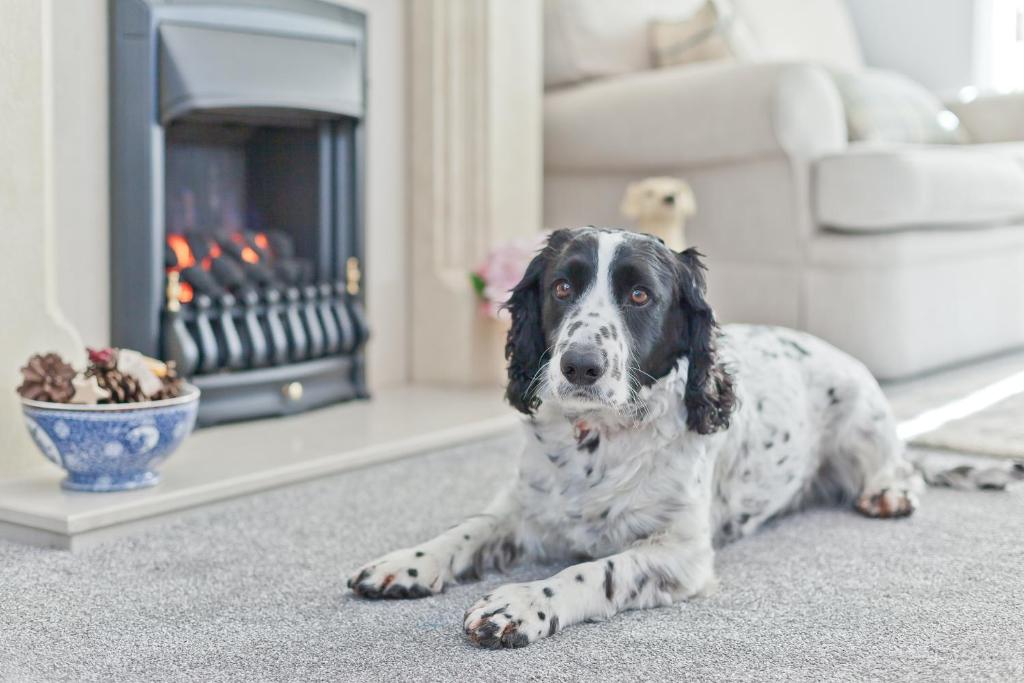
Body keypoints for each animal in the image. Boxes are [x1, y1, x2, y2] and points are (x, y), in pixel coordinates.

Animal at [348, 228, 925, 647]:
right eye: (562, 287)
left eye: (640, 295)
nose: (581, 365)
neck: (595, 441)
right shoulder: (523, 507)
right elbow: (465, 530)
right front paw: (404, 564)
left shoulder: (682, 552)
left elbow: (593, 570)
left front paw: (520, 603)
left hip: (861, 416)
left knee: (902, 463)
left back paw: (889, 491)